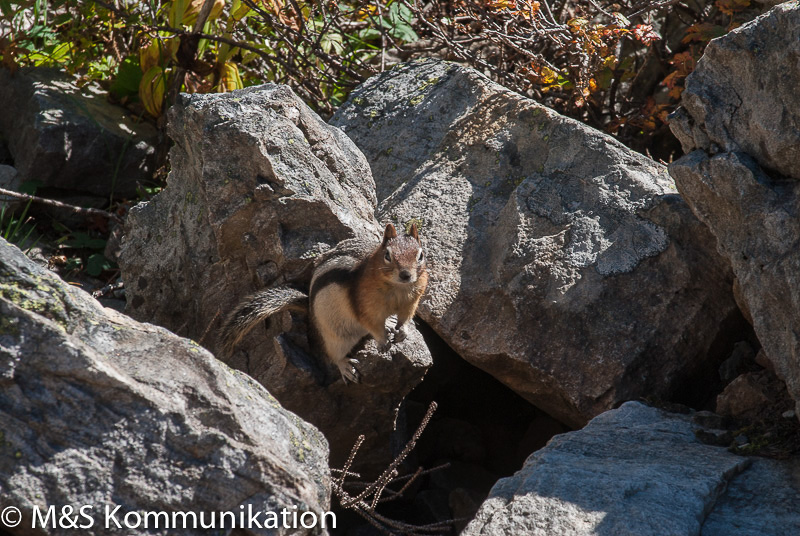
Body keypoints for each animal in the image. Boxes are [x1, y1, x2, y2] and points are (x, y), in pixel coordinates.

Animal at [219, 224, 428, 384]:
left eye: (420, 255)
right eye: (387, 255)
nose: (406, 275)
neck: (398, 288)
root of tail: (310, 311)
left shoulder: (411, 301)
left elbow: (406, 317)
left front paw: (402, 330)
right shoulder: (365, 306)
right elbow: (372, 324)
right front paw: (383, 341)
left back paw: (390, 324)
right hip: (335, 336)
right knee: (332, 355)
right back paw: (346, 366)